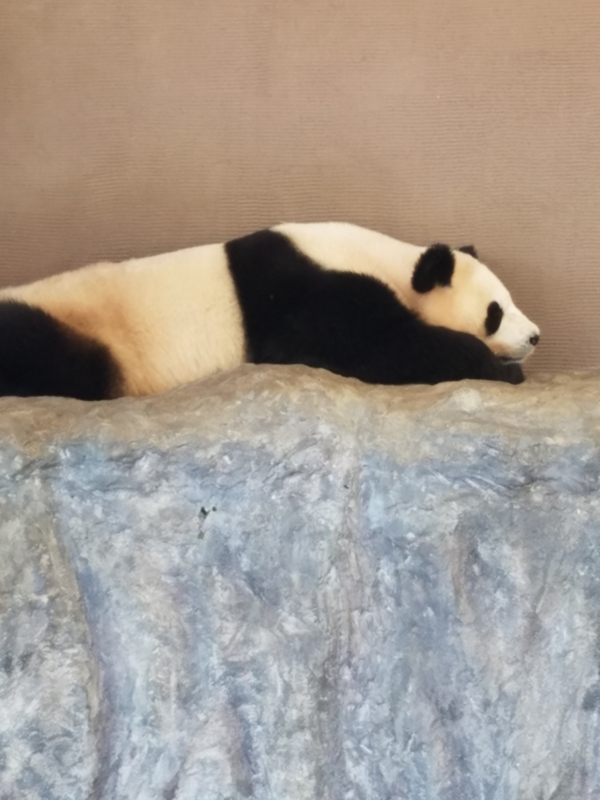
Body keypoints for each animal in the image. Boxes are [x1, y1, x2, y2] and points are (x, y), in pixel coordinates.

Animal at [0, 222, 539, 400]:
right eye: (496, 310)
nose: (535, 337)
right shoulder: (311, 294)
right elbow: (379, 349)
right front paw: (501, 370)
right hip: (76, 328)